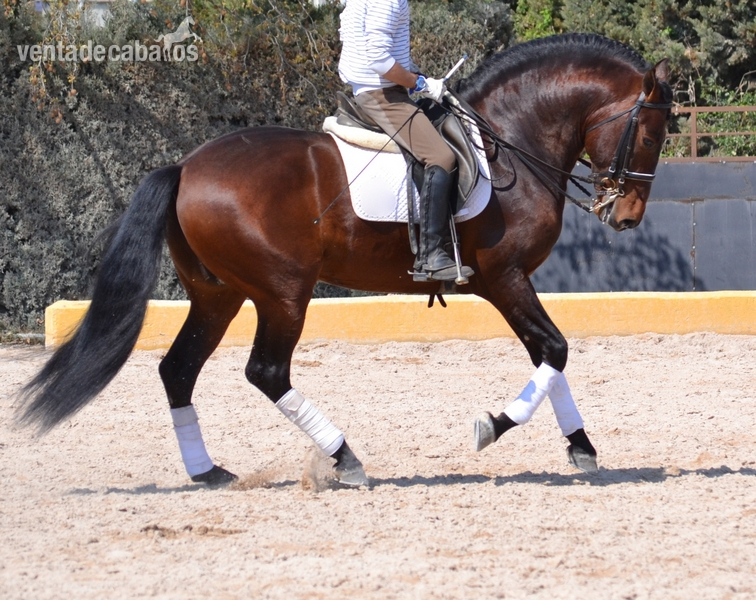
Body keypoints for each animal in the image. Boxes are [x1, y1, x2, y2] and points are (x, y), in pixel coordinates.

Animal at [18, 34, 673, 488]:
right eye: (650, 133)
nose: (627, 215)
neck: (511, 141)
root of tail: (185, 167)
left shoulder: (508, 282)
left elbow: (547, 355)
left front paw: (581, 447)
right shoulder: (505, 277)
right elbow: (555, 350)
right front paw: (495, 425)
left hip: (219, 294)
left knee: (178, 370)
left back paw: (209, 472)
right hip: (283, 291)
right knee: (267, 372)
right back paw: (345, 458)